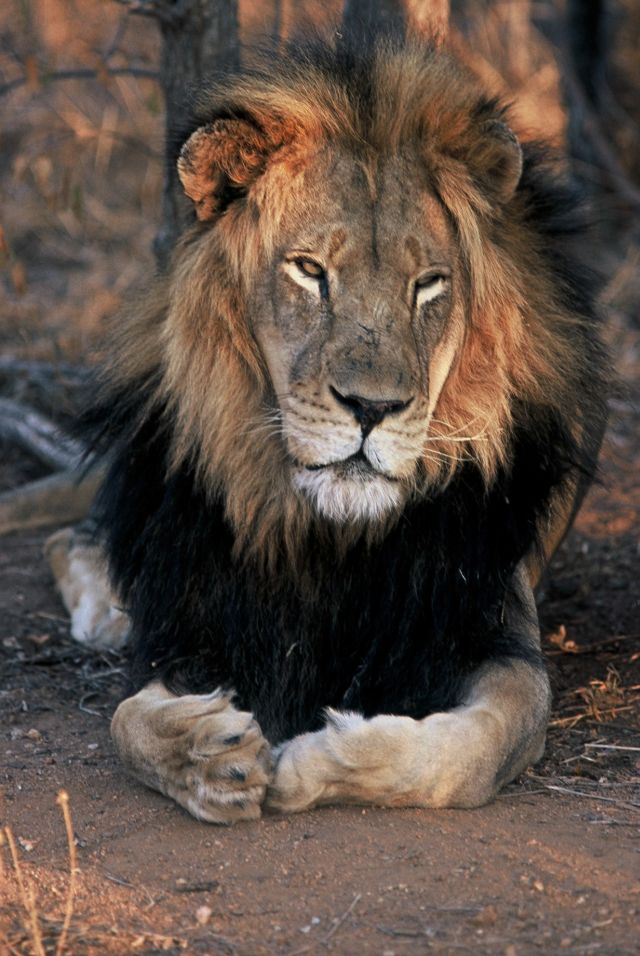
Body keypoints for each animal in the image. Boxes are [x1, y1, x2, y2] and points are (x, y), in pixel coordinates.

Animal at [45, 33, 608, 823]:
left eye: (428, 284)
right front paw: (207, 757)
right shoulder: (191, 628)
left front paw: (312, 760)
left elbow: (468, 752)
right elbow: (128, 722)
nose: (372, 409)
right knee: (67, 540)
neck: (326, 537)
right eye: (309, 271)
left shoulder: (494, 633)